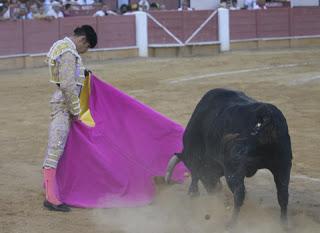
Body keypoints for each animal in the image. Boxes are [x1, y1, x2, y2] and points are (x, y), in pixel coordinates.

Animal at [165, 88, 292, 226]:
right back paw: (284, 224)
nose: (213, 190)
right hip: (283, 165)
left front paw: (193, 193)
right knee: (283, 196)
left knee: (239, 194)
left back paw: (231, 223)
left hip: (234, 171)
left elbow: (195, 177)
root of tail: (265, 115)